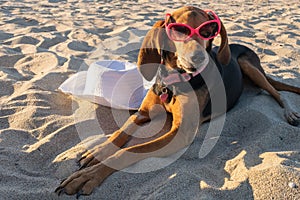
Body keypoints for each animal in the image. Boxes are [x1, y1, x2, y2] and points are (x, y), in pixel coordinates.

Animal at [56, 5, 300, 197]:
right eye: (179, 30)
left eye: (209, 31)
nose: (198, 58)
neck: (174, 82)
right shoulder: (142, 113)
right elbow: (119, 134)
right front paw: (97, 152)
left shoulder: (180, 134)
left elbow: (131, 150)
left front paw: (88, 176)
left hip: (249, 65)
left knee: (277, 93)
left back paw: (290, 113)